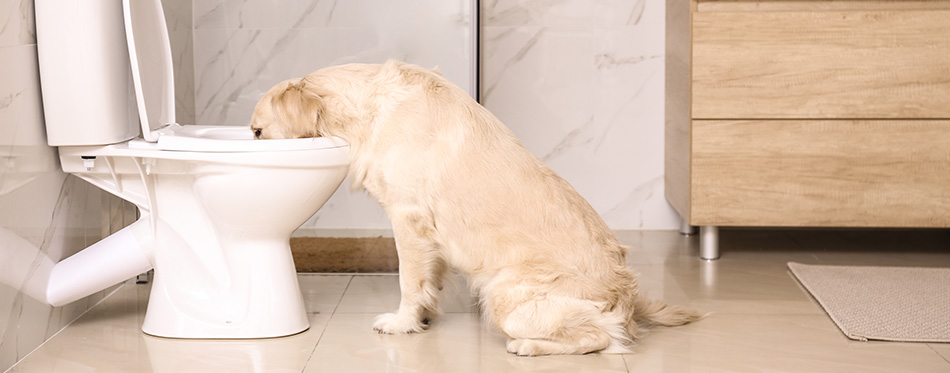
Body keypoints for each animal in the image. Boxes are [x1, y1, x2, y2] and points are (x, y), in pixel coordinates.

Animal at [249, 59, 704, 354]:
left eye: (256, 131)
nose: (248, 136)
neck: (369, 108)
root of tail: (627, 296)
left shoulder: (407, 217)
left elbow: (408, 281)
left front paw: (401, 323)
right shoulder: (427, 234)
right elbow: (428, 280)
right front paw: (425, 317)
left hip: (502, 296)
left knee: (601, 339)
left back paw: (527, 346)